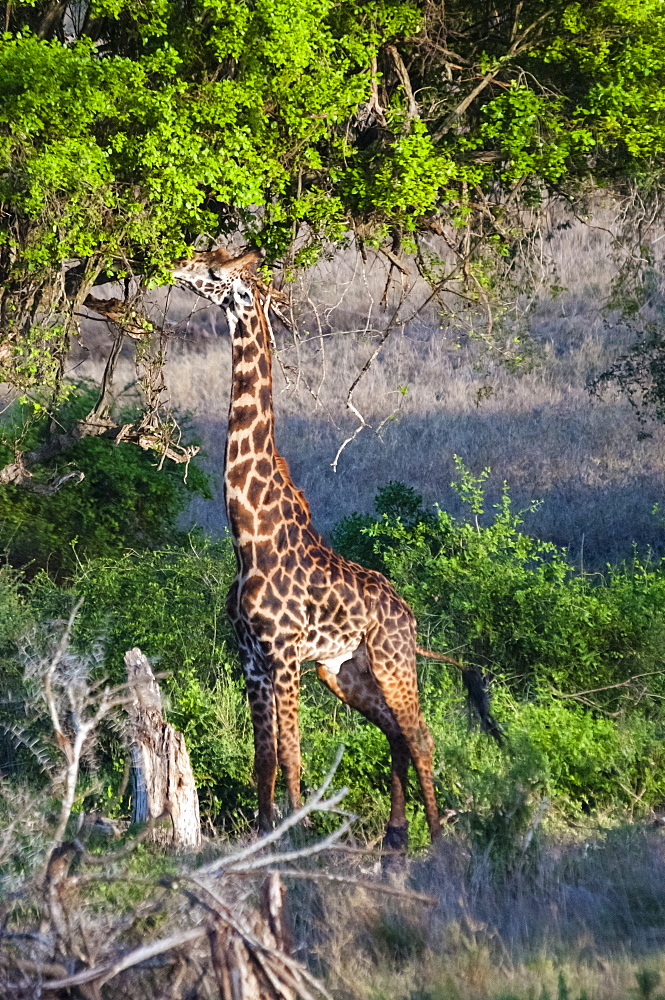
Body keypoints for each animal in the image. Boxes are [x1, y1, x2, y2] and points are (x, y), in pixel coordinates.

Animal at [172, 246, 498, 848]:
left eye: (213, 272)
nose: (176, 267)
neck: (248, 537)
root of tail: (409, 615)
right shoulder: (252, 657)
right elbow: (263, 758)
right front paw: (264, 835)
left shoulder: (283, 656)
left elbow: (292, 754)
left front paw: (297, 834)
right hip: (345, 670)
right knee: (395, 732)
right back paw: (396, 833)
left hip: (391, 660)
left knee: (420, 734)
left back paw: (436, 838)